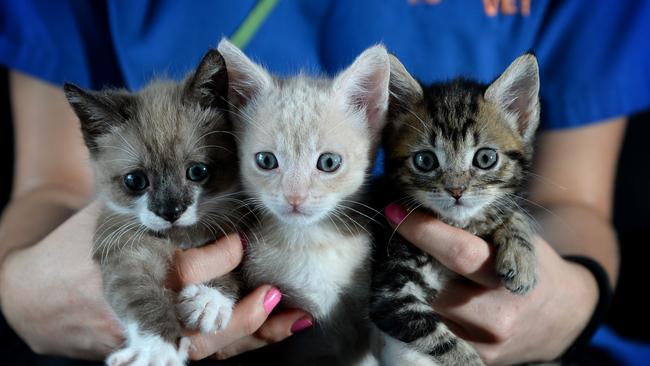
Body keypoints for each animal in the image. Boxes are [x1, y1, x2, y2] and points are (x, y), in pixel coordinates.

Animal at [64, 49, 242, 366]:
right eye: (135, 180)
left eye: (198, 171)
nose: (170, 212)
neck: (180, 236)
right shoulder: (125, 250)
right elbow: (139, 297)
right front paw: (157, 350)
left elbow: (237, 262)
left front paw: (209, 300)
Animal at [368, 55, 540, 366]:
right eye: (425, 160)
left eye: (485, 158)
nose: (456, 190)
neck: (456, 224)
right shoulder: (390, 293)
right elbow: (440, 340)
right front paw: (468, 360)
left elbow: (511, 212)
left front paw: (521, 258)